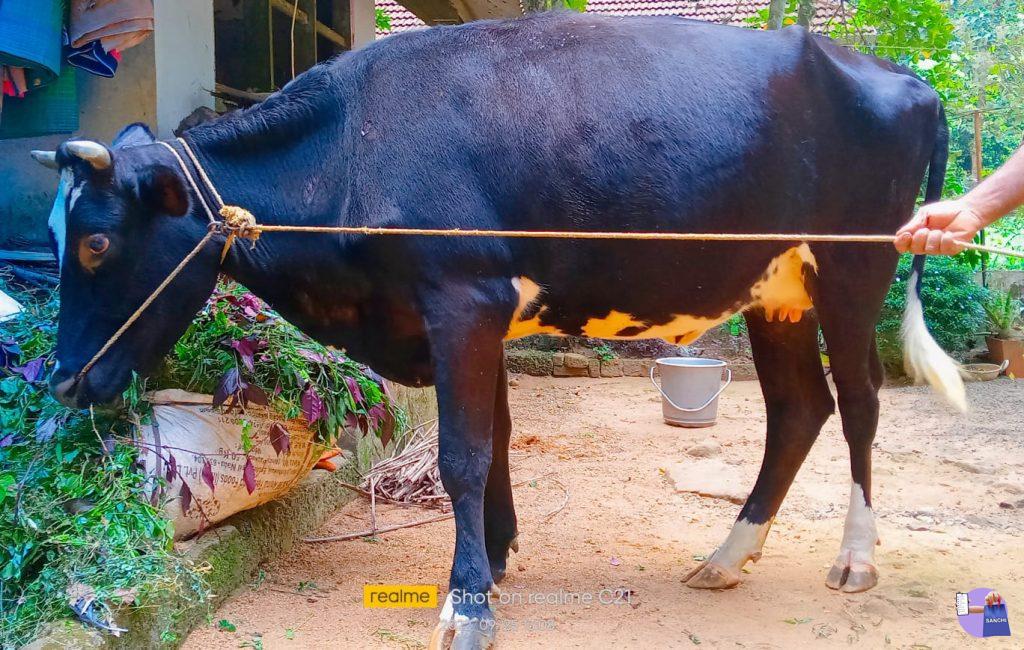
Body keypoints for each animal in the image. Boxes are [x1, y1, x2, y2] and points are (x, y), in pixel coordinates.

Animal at [32, 13, 963, 649]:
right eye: (51, 233)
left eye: (97, 241)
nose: (64, 379)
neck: (351, 147)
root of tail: (901, 76)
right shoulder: (481, 315)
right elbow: (500, 438)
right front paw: (500, 556)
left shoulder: (462, 299)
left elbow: (463, 454)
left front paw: (468, 601)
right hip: (777, 289)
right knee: (798, 408)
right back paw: (728, 557)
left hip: (853, 269)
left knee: (862, 401)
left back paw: (856, 558)